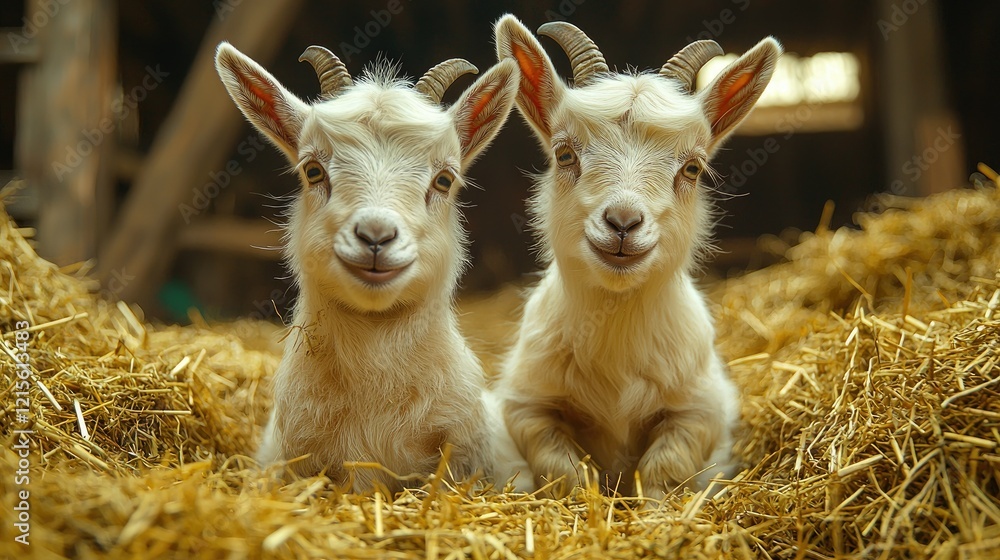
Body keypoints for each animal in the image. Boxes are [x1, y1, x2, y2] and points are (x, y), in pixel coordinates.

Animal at [494, 15, 781, 497]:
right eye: (564, 153)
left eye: (692, 168)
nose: (624, 222)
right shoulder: (525, 404)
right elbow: (562, 466)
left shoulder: (701, 408)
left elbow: (666, 465)